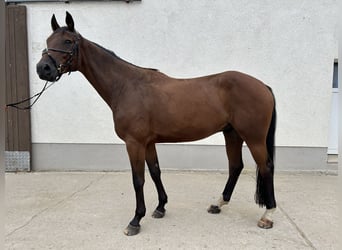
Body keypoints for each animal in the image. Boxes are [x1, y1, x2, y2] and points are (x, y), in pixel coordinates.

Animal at [36, 12, 278, 236]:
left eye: (68, 41)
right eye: (48, 40)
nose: (43, 69)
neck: (126, 86)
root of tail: (263, 86)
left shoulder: (134, 143)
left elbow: (138, 179)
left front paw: (135, 220)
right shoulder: (149, 142)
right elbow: (155, 172)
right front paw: (160, 207)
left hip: (253, 137)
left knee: (265, 167)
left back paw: (268, 215)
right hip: (232, 133)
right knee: (235, 166)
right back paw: (218, 204)